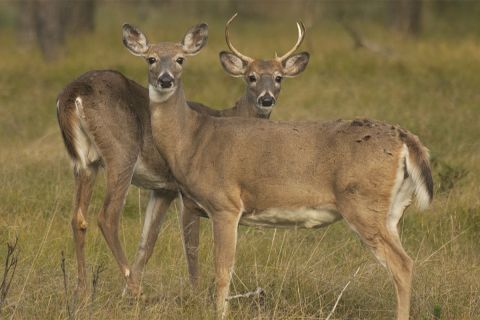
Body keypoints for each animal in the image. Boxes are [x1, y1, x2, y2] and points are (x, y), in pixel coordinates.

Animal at [55, 14, 308, 296]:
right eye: (250, 77)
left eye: (278, 77)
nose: (266, 99)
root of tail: (74, 93)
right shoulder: (186, 193)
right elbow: (192, 247)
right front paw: (195, 294)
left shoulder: (163, 188)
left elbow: (147, 243)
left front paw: (126, 294)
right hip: (121, 152)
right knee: (107, 216)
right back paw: (132, 289)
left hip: (83, 161)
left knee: (78, 218)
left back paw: (84, 291)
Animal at [121, 18, 432, 320]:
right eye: (150, 59)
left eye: (180, 59)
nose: (165, 80)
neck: (193, 139)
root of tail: (406, 139)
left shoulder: (225, 204)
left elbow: (222, 271)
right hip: (393, 210)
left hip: (363, 203)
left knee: (403, 264)